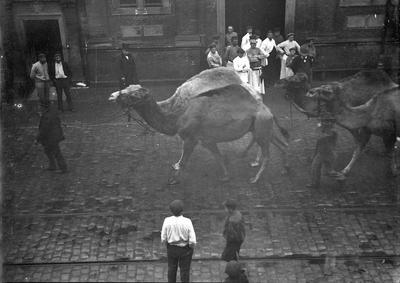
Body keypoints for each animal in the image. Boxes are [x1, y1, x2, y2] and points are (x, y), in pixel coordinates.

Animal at [109, 82, 290, 184]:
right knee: (282, 145)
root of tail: (269, 110)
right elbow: (218, 157)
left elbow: (184, 161)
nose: (114, 96)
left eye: (133, 95)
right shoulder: (207, 139)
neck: (177, 118)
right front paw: (225, 176)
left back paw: (255, 178)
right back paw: (284, 169)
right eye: (127, 89)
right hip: (265, 129)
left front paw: (173, 179)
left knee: (268, 155)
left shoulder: (191, 139)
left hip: (261, 127)